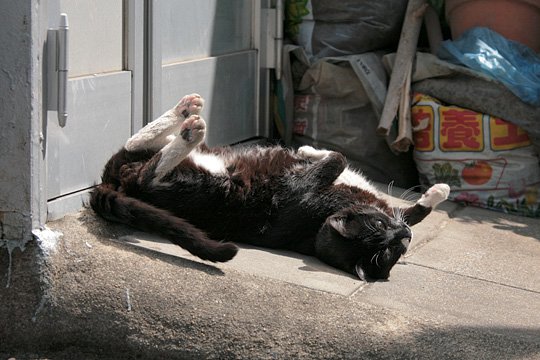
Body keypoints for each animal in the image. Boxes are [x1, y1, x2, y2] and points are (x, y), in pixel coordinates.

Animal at [90, 94, 450, 280]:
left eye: (394, 251)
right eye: (377, 225)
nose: (402, 236)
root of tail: (109, 182)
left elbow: (342, 162)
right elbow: (341, 161)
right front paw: (438, 192)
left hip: (207, 186)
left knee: (146, 170)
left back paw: (190, 126)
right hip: (202, 175)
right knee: (138, 151)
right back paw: (185, 112)